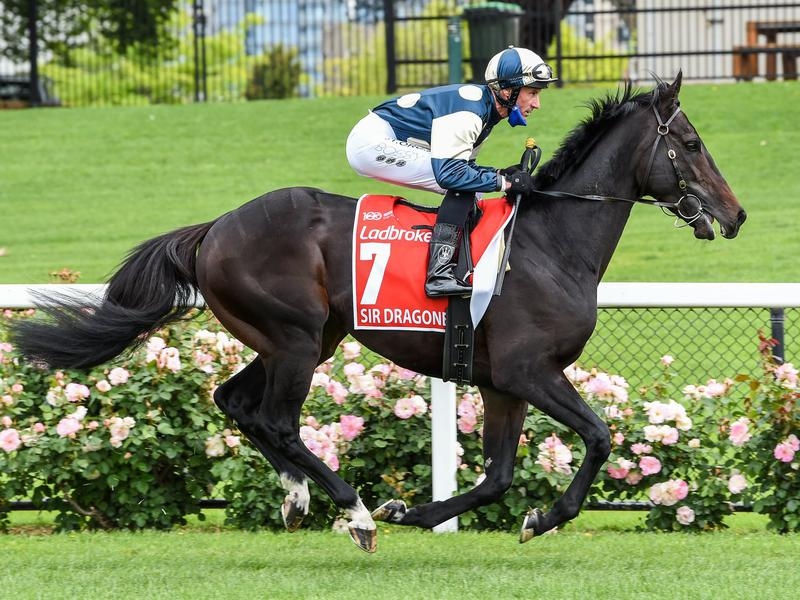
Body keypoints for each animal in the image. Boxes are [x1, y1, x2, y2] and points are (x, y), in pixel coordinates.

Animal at [11, 73, 746, 552]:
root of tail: (213, 228)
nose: (736, 215)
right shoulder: (530, 371)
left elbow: (498, 477)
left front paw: (420, 512)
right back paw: (353, 510)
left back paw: (300, 497)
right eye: (691, 142)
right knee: (276, 421)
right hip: (296, 339)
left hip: (301, 339)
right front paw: (542, 515)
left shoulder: (503, 383)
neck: (550, 244)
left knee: (236, 403)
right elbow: (597, 438)